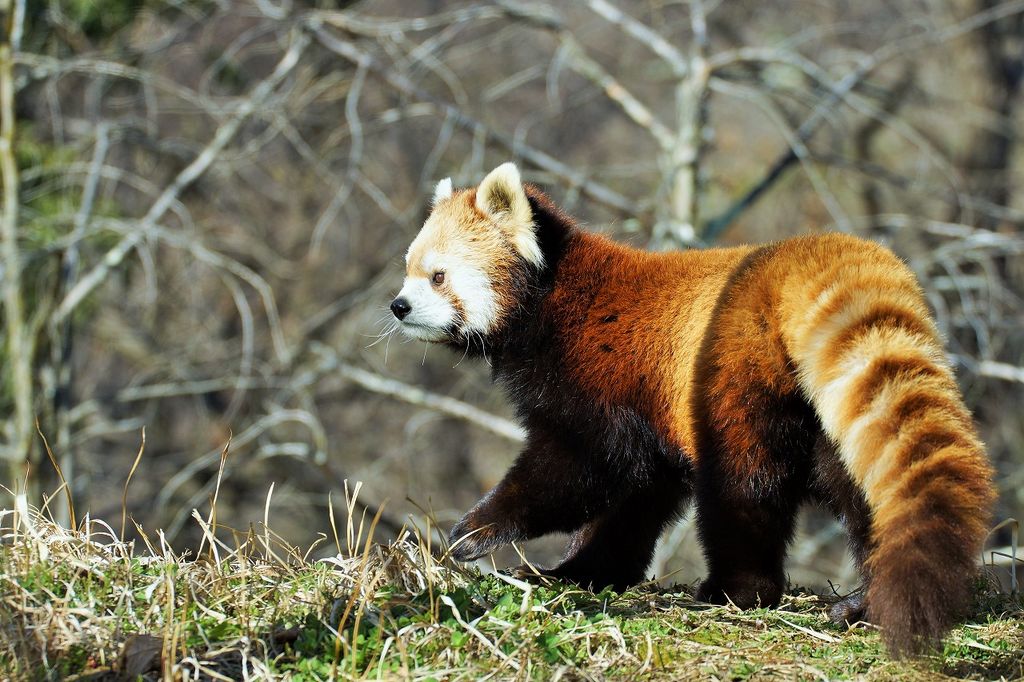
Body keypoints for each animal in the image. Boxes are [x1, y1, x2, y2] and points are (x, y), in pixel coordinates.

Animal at [389, 160, 991, 655]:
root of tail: (803, 260)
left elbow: (577, 471)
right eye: (409, 268)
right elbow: (638, 494)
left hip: (733, 374)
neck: (551, 301)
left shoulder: (600, 384)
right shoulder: (647, 420)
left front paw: (474, 531)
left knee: (742, 483)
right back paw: (865, 599)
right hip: (822, 407)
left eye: (438, 276)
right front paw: (581, 570)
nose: (398, 306)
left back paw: (736, 589)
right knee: (862, 487)